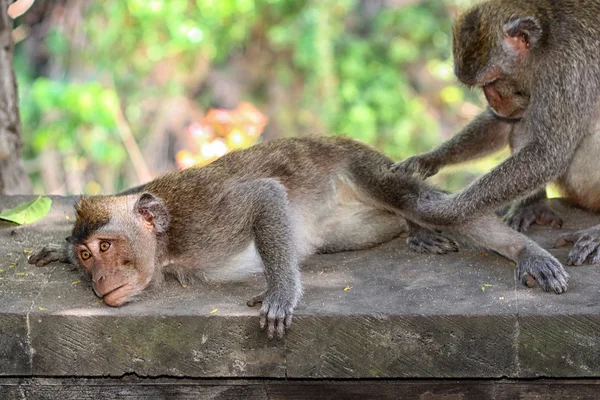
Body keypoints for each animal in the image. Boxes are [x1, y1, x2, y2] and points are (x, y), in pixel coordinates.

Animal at [28, 137, 568, 338]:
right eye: (86, 254)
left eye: (105, 247)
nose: (98, 281)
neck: (165, 244)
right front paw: (56, 248)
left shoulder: (202, 221)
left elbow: (265, 194)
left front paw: (280, 293)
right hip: (356, 223)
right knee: (402, 217)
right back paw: (415, 233)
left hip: (368, 170)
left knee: (427, 204)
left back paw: (524, 251)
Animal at [392, 0, 600, 268]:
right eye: (483, 86)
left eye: (492, 80)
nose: (493, 100)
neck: (546, 42)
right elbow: (503, 124)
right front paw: (426, 160)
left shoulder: (567, 70)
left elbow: (548, 154)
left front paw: (442, 212)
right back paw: (533, 205)